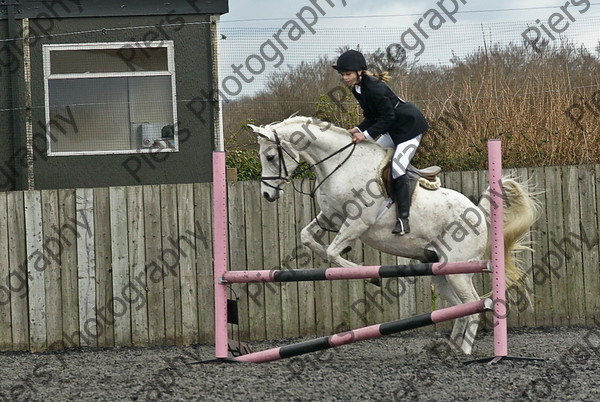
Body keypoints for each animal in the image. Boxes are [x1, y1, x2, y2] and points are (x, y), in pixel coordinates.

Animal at [247, 114, 540, 354]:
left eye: (270, 157)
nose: (267, 195)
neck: (341, 164)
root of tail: (478, 213)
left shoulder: (357, 222)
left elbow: (332, 251)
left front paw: (369, 276)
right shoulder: (330, 216)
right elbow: (307, 237)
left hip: (458, 270)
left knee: (474, 305)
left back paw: (464, 353)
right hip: (440, 272)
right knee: (462, 307)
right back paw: (450, 348)